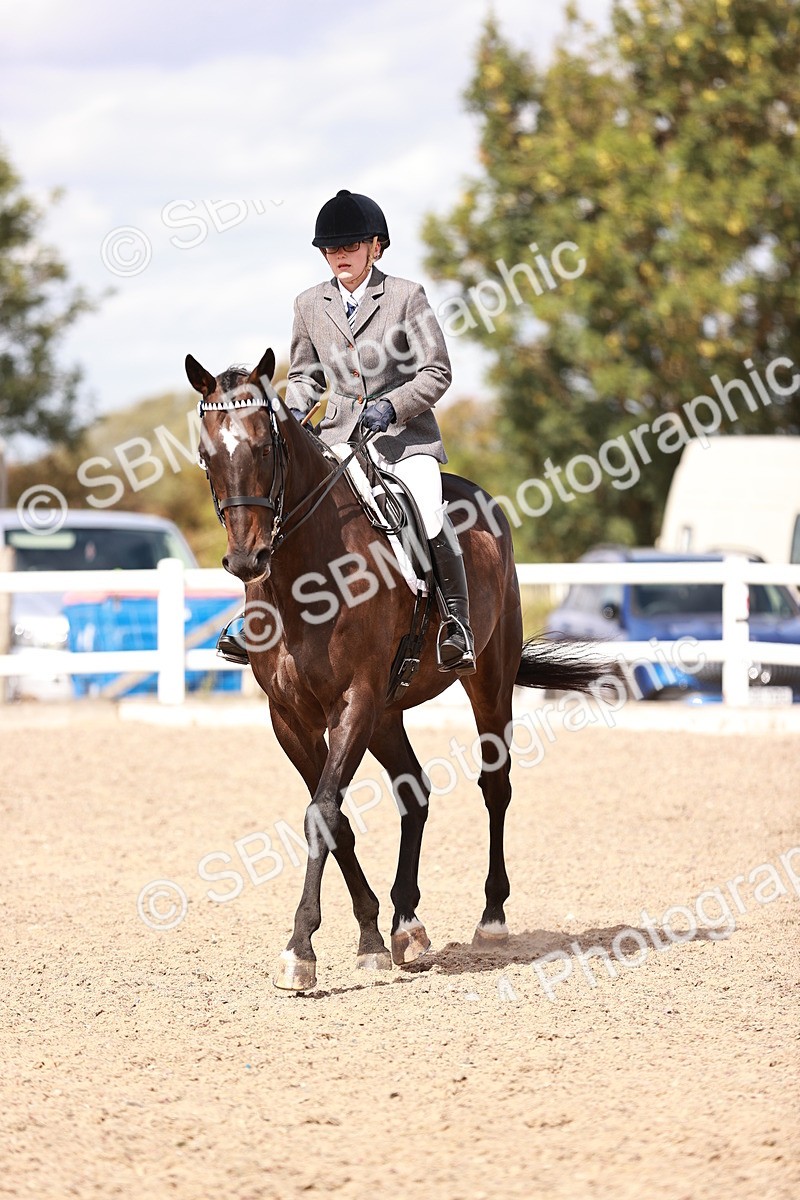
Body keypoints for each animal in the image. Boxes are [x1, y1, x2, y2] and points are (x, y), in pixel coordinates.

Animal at [185, 347, 612, 992]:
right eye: (208, 455)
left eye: (263, 447)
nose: (246, 560)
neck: (303, 578)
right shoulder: (290, 717)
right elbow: (334, 818)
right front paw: (369, 936)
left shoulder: (353, 702)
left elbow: (322, 813)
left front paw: (300, 950)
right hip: (387, 714)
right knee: (415, 792)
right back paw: (406, 923)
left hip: (485, 681)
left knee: (495, 785)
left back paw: (491, 918)